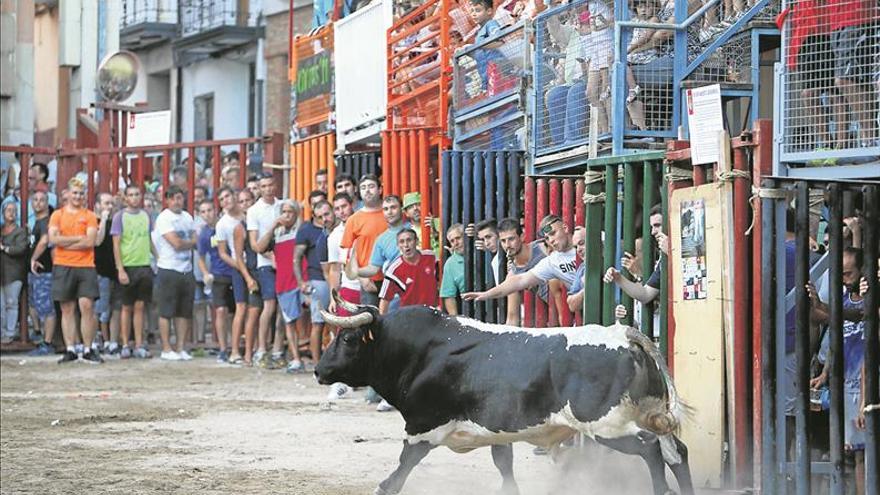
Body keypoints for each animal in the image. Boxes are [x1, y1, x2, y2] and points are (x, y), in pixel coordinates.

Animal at [316, 296, 696, 494]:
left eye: (347, 339)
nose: (319, 370)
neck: (420, 350)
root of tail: (623, 334)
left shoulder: (423, 428)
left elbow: (400, 470)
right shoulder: (497, 432)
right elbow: (505, 467)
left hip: (607, 426)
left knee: (651, 449)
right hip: (647, 415)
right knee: (676, 452)